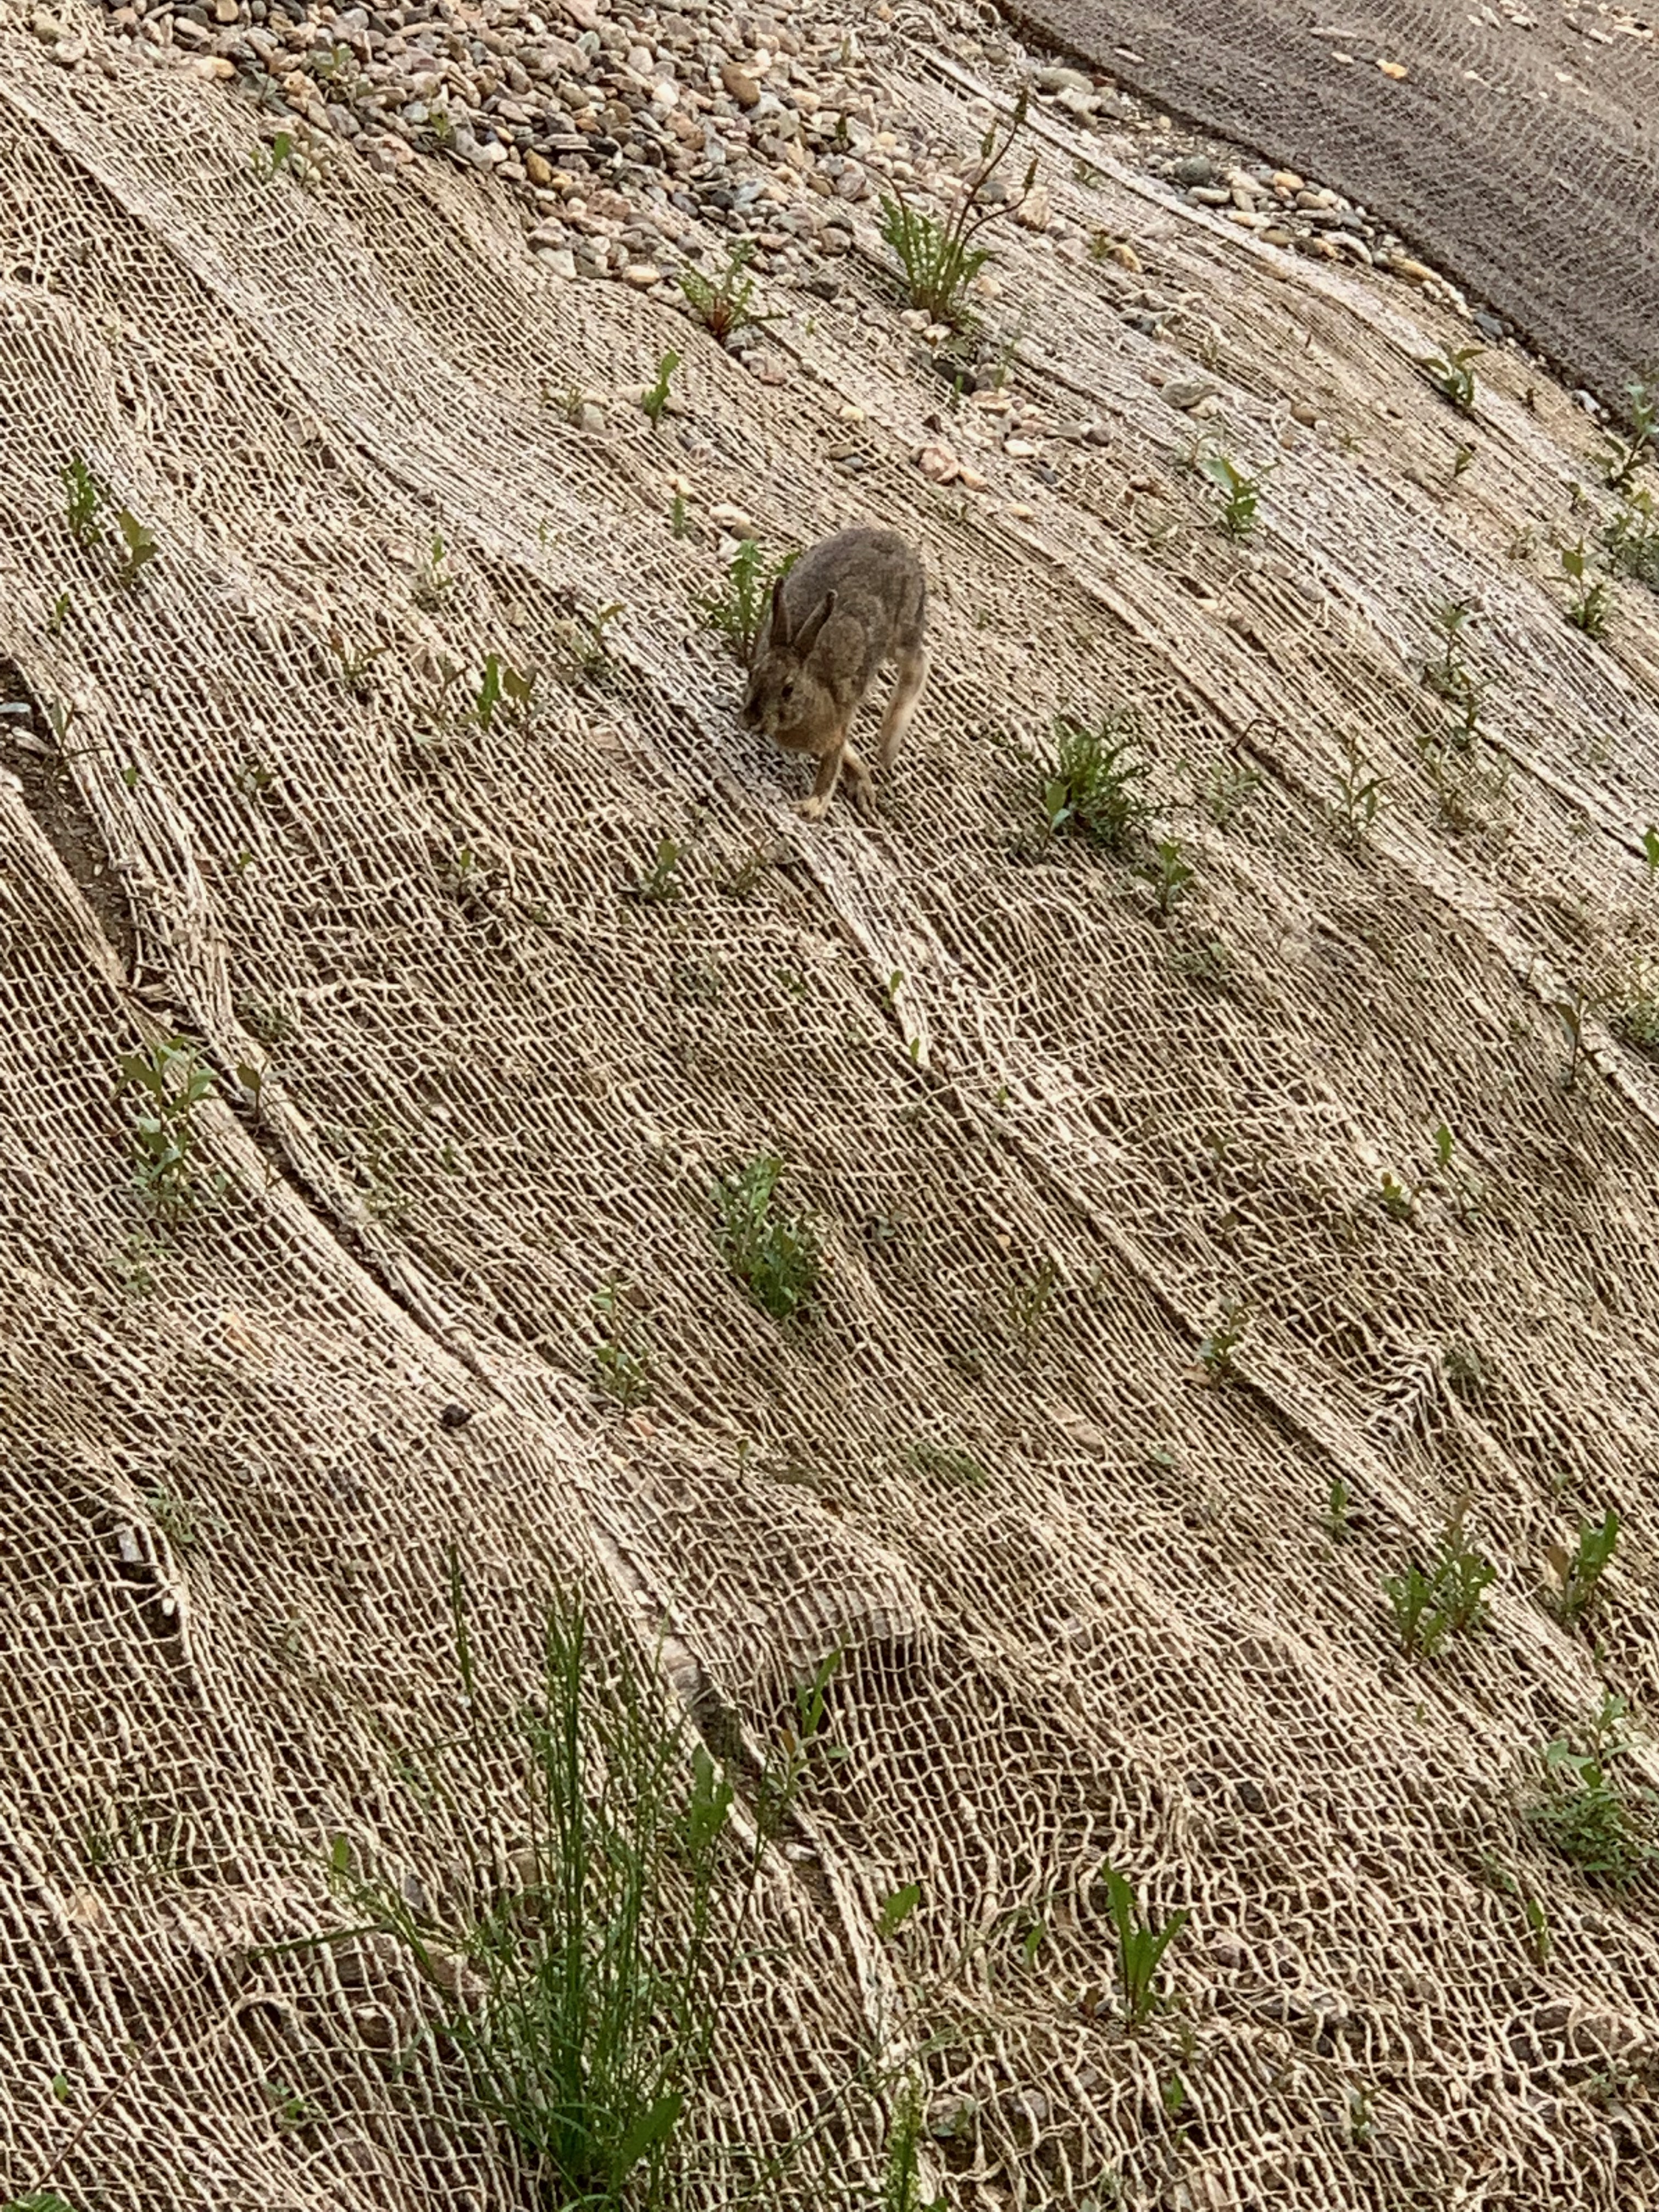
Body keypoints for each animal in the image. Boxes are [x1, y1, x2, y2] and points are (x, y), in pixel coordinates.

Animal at [740, 526, 929, 821]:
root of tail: (892, 539)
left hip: (903, 629)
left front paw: (811, 807)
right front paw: (860, 784)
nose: (751, 718)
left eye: (788, 689)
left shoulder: (841, 718)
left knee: (918, 663)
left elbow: (832, 765)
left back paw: (888, 746)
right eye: (753, 674)